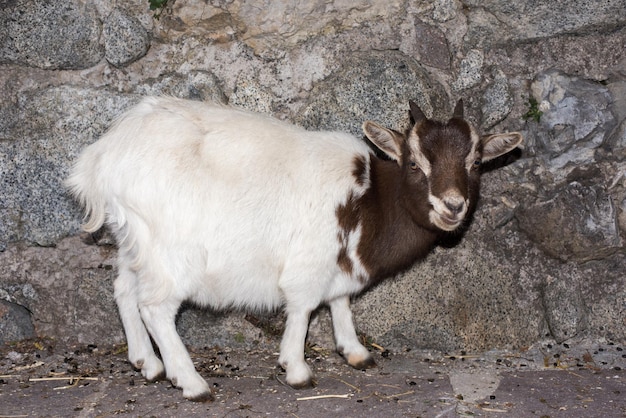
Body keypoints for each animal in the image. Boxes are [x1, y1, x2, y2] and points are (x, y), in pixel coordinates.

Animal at [66, 97, 520, 402]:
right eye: (414, 163)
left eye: (475, 163)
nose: (452, 206)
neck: (369, 198)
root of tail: (101, 160)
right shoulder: (311, 261)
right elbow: (303, 308)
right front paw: (297, 368)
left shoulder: (340, 262)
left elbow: (340, 300)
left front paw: (355, 352)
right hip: (170, 251)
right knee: (155, 306)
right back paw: (191, 382)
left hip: (136, 242)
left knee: (124, 290)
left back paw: (147, 363)